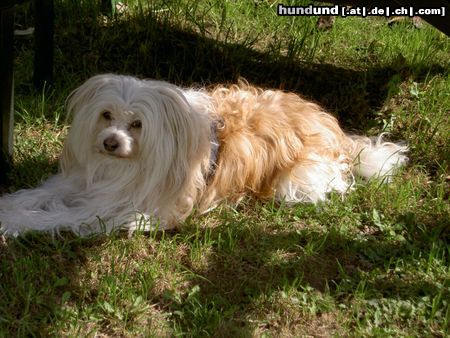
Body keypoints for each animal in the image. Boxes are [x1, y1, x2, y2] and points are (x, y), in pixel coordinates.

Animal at [0, 75, 408, 236]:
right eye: (106, 115)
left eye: (137, 124)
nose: (110, 143)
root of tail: (334, 129)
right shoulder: (84, 182)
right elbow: (41, 196)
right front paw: (12, 207)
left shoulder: (121, 207)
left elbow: (57, 216)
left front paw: (14, 223)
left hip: (297, 180)